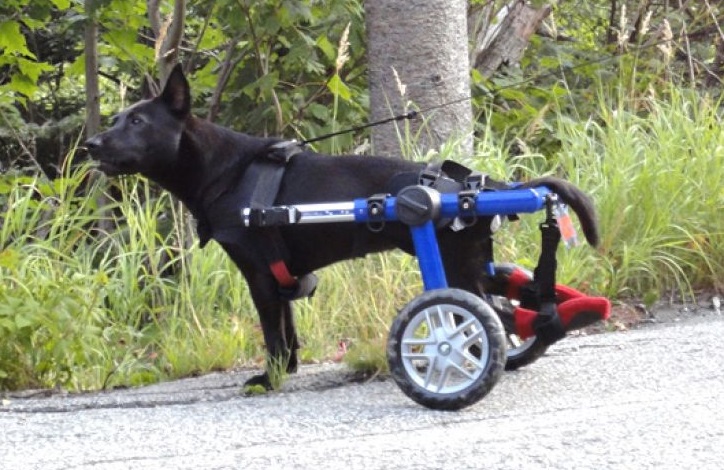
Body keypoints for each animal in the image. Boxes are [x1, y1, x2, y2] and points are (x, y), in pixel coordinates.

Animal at [86, 65, 600, 390]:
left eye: (137, 120)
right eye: (116, 119)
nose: (91, 144)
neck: (224, 170)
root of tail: (482, 184)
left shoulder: (258, 276)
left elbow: (272, 337)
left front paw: (268, 381)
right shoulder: (279, 279)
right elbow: (289, 335)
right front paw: (287, 372)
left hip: (456, 269)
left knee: (499, 316)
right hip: (473, 263)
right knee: (525, 301)